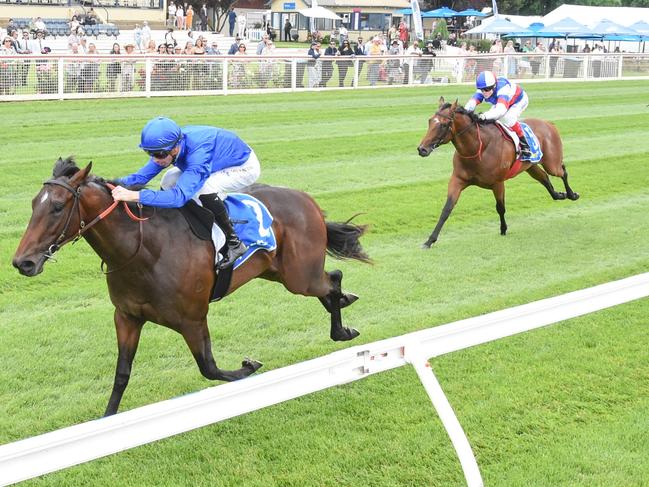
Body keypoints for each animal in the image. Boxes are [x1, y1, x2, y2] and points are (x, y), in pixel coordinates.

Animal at [11, 158, 370, 418]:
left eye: (57, 207)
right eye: (33, 204)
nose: (22, 262)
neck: (143, 250)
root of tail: (307, 199)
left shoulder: (193, 319)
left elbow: (210, 369)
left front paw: (248, 366)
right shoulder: (127, 316)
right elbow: (122, 373)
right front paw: (107, 420)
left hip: (299, 277)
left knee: (332, 278)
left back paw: (342, 328)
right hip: (277, 272)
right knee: (331, 282)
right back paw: (344, 307)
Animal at [416, 96, 576, 248]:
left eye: (443, 124)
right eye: (430, 121)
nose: (422, 149)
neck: (478, 148)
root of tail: (549, 123)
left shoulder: (498, 183)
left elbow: (500, 207)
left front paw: (503, 229)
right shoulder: (458, 180)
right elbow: (447, 209)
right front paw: (429, 240)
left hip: (551, 163)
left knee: (562, 171)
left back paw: (572, 194)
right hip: (531, 166)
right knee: (544, 178)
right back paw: (559, 195)